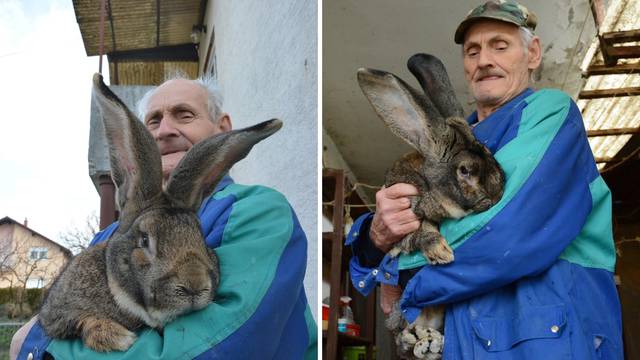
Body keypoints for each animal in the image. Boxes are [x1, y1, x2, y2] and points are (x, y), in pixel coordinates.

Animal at [358, 54, 502, 360]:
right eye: (465, 171)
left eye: (491, 156)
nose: (497, 196)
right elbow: (420, 233)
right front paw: (441, 253)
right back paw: (418, 341)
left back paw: (431, 343)